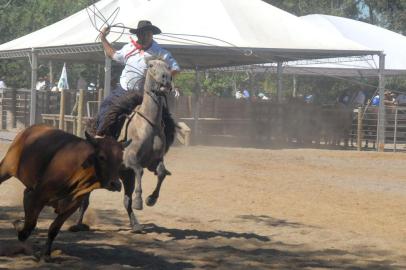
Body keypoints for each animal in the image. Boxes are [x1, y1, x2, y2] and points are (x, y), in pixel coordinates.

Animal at [0, 125, 128, 260]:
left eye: (121, 160)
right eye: (102, 157)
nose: (116, 184)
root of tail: (28, 130)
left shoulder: (72, 206)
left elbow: (53, 229)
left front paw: (46, 254)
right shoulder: (36, 196)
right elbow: (29, 225)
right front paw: (19, 227)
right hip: (5, 168)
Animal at [70, 58, 175, 232]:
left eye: (168, 66)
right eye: (151, 66)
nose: (166, 79)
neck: (149, 125)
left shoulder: (153, 161)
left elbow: (160, 173)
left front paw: (151, 199)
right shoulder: (130, 160)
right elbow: (139, 170)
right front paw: (140, 200)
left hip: (125, 176)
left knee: (126, 201)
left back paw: (136, 225)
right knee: (84, 200)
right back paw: (77, 225)